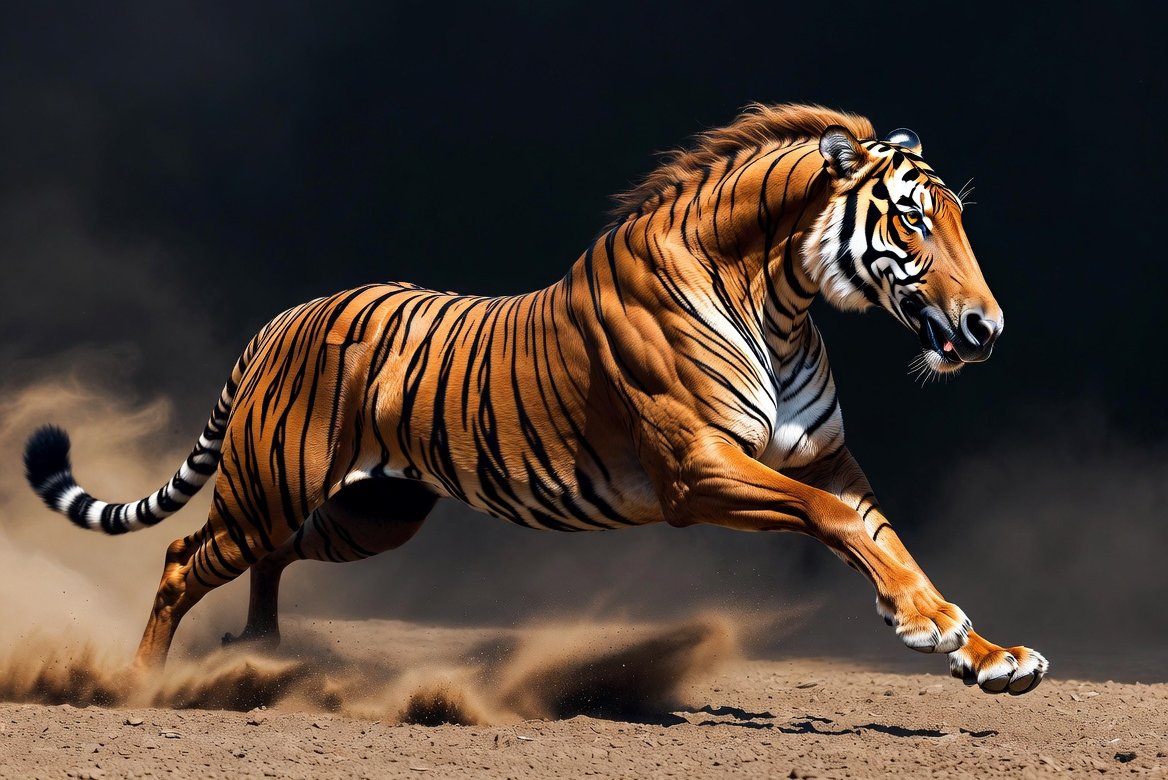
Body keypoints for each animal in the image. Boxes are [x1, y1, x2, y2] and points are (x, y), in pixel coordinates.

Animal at [24, 103, 1047, 695]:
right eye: (914, 221)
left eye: (960, 216)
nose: (988, 325)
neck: (787, 303)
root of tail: (281, 318)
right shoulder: (701, 471)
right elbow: (833, 522)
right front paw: (931, 628)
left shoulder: (825, 454)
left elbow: (885, 537)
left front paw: (985, 652)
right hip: (268, 489)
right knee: (179, 558)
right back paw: (140, 684)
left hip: (367, 514)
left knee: (265, 560)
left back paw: (263, 655)